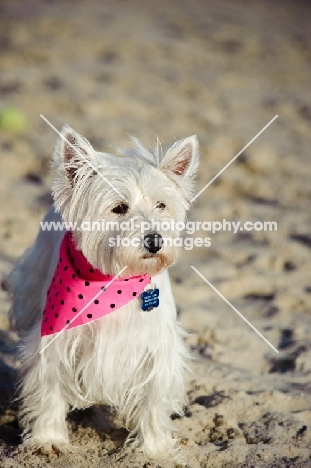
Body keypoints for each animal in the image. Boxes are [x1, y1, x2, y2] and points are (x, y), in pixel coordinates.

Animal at [9, 125, 201, 464]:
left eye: (161, 205)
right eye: (119, 208)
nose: (155, 241)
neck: (113, 283)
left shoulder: (155, 348)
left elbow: (153, 400)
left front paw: (155, 451)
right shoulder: (53, 339)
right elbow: (48, 388)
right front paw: (48, 441)